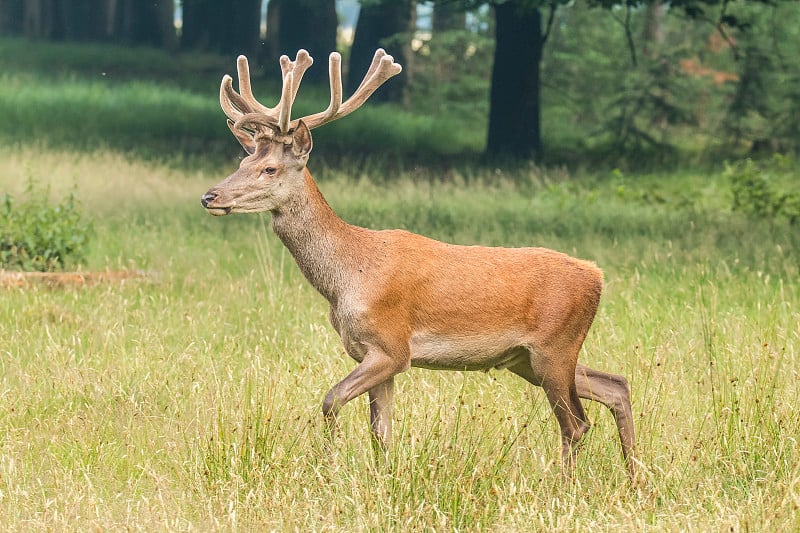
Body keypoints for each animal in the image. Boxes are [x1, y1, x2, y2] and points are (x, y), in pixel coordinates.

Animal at [200, 50, 636, 482]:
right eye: (241, 161)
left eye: (269, 169)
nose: (210, 196)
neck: (347, 276)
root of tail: (597, 276)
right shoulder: (368, 353)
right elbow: (381, 430)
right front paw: (383, 479)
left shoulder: (392, 346)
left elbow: (331, 400)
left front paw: (327, 467)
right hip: (526, 358)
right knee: (616, 385)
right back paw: (634, 477)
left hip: (554, 346)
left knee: (576, 423)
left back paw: (565, 485)